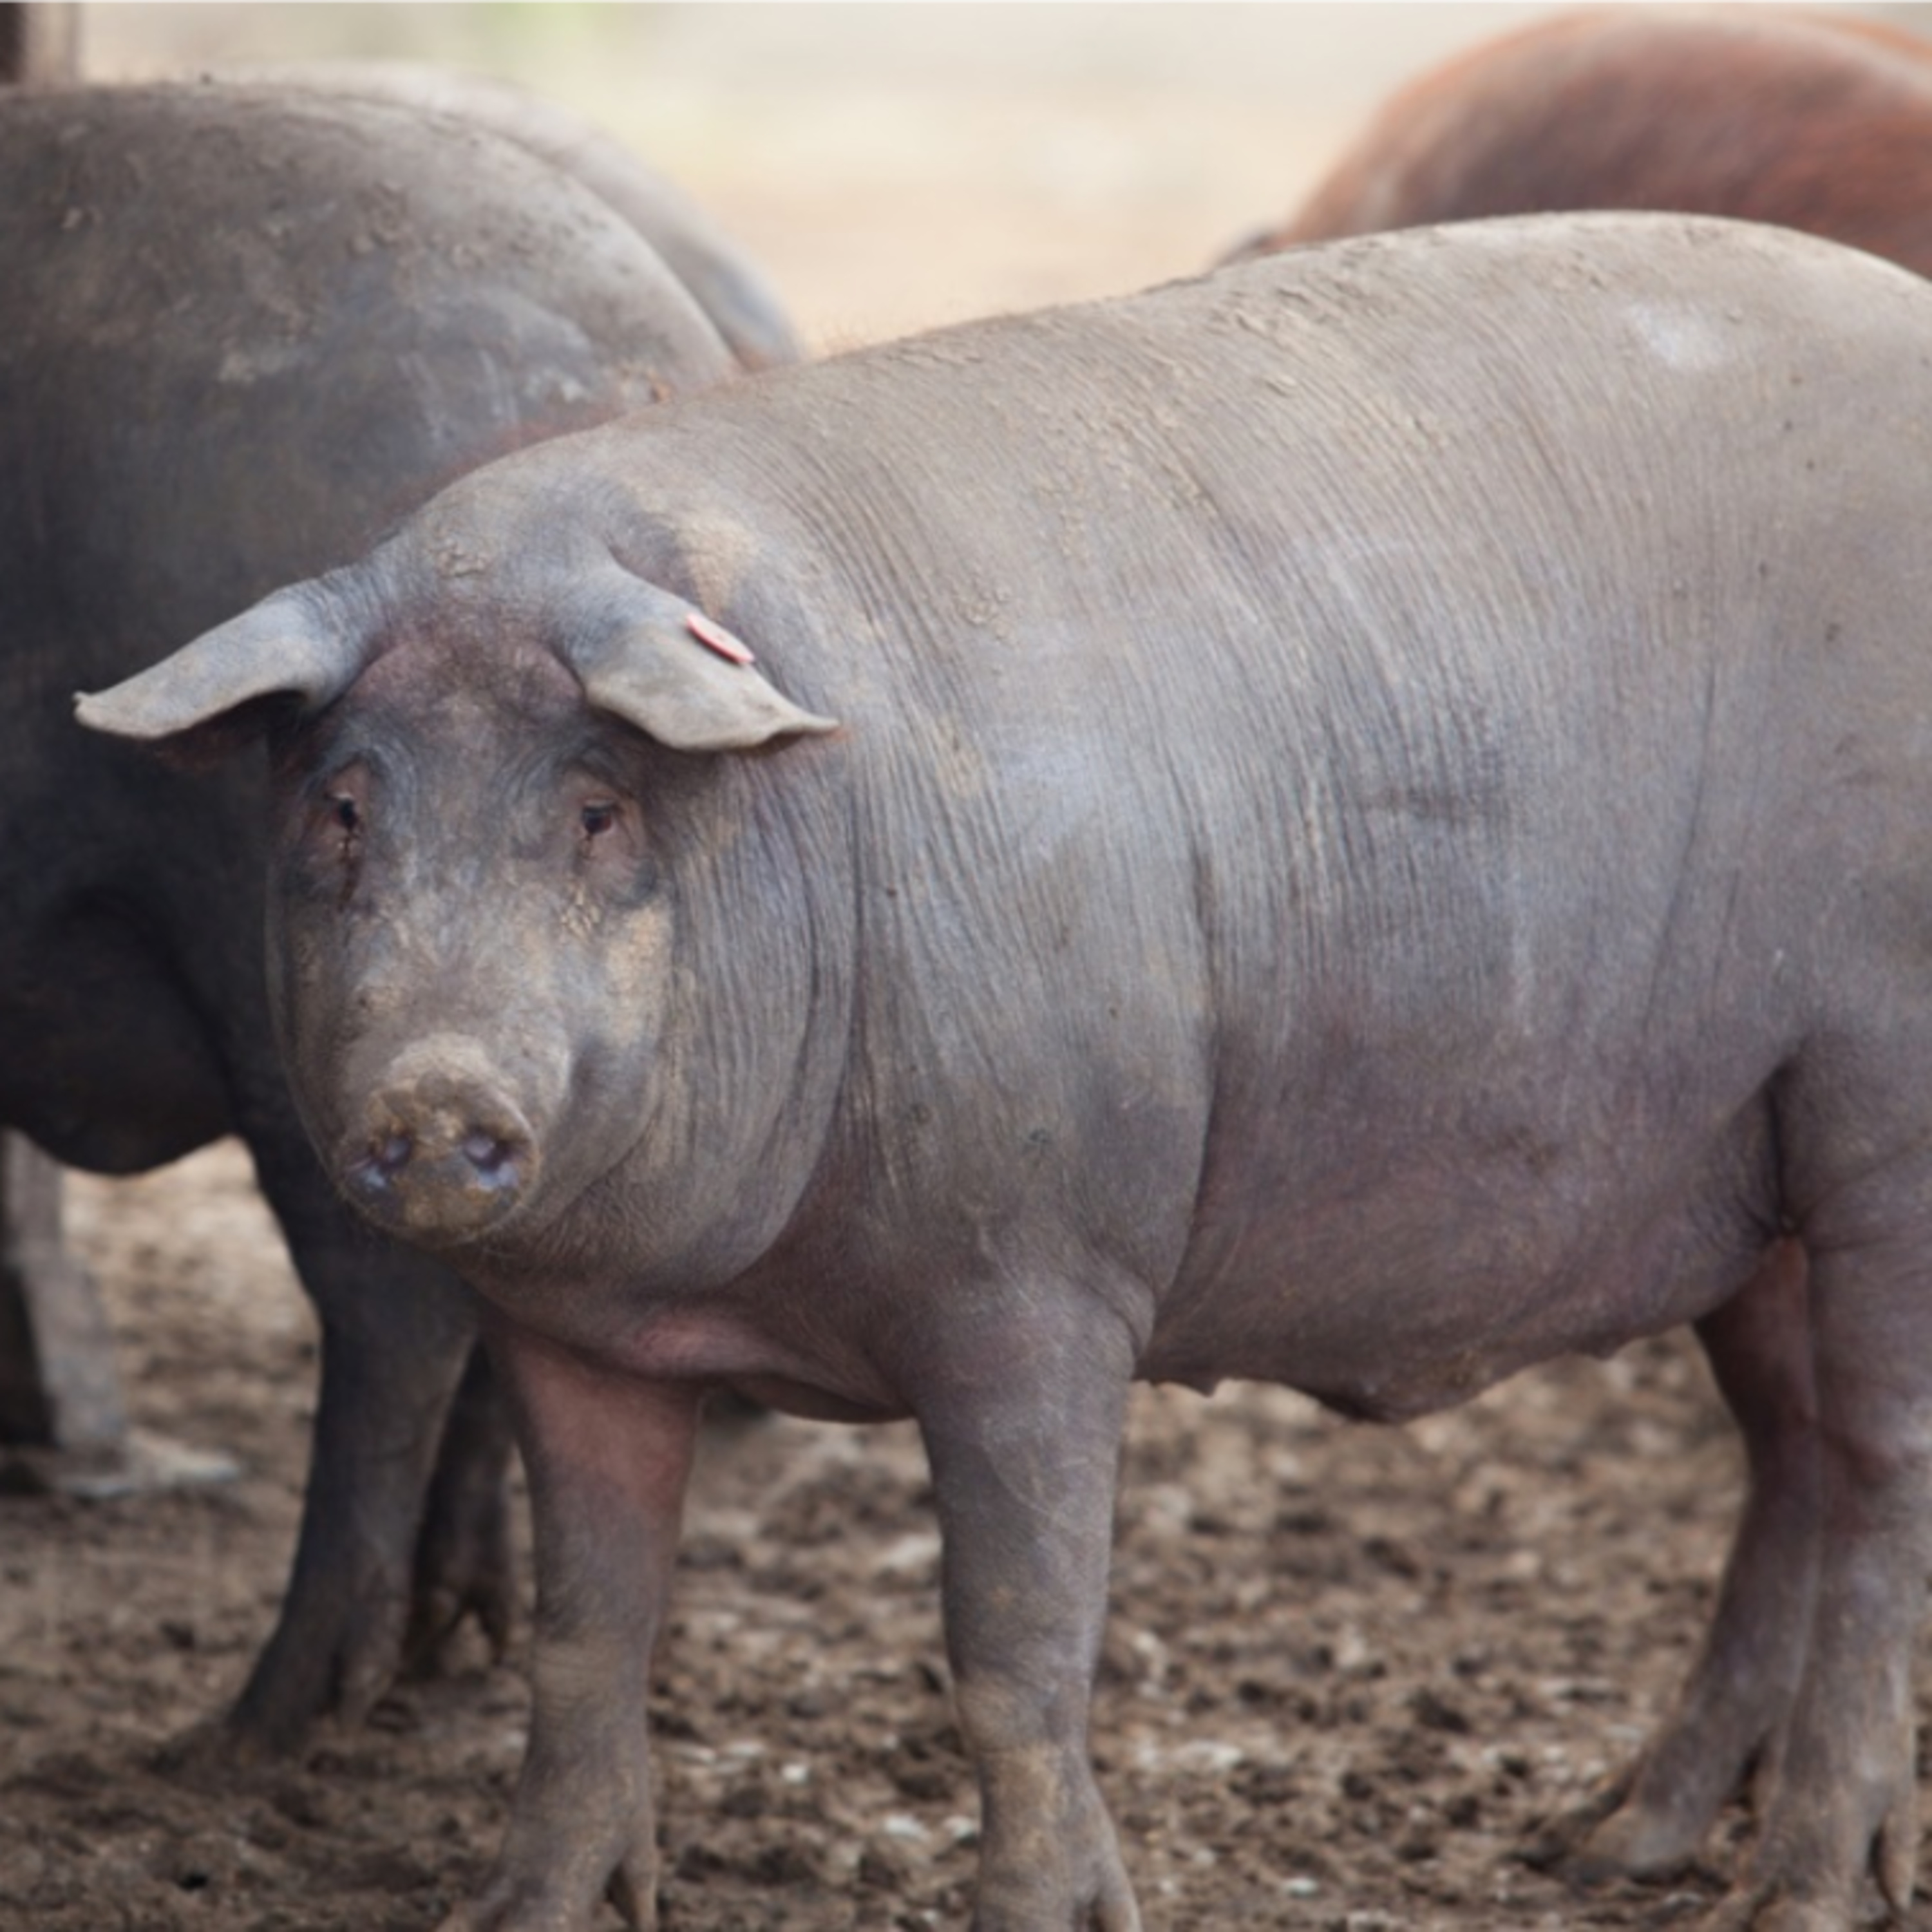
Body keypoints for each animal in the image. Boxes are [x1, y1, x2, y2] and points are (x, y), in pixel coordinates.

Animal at [80, 211, 1932, 1930]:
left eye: (597, 809)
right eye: (342, 808)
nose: (434, 1099)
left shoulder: (1042, 1278)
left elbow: (1016, 1651)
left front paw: (1055, 1911)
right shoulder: (571, 1337)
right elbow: (590, 1633)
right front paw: (529, 1909)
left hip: (1882, 1115)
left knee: (1875, 1482)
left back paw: (1798, 1890)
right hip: (1751, 1173)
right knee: (1787, 1463)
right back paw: (1615, 1844)